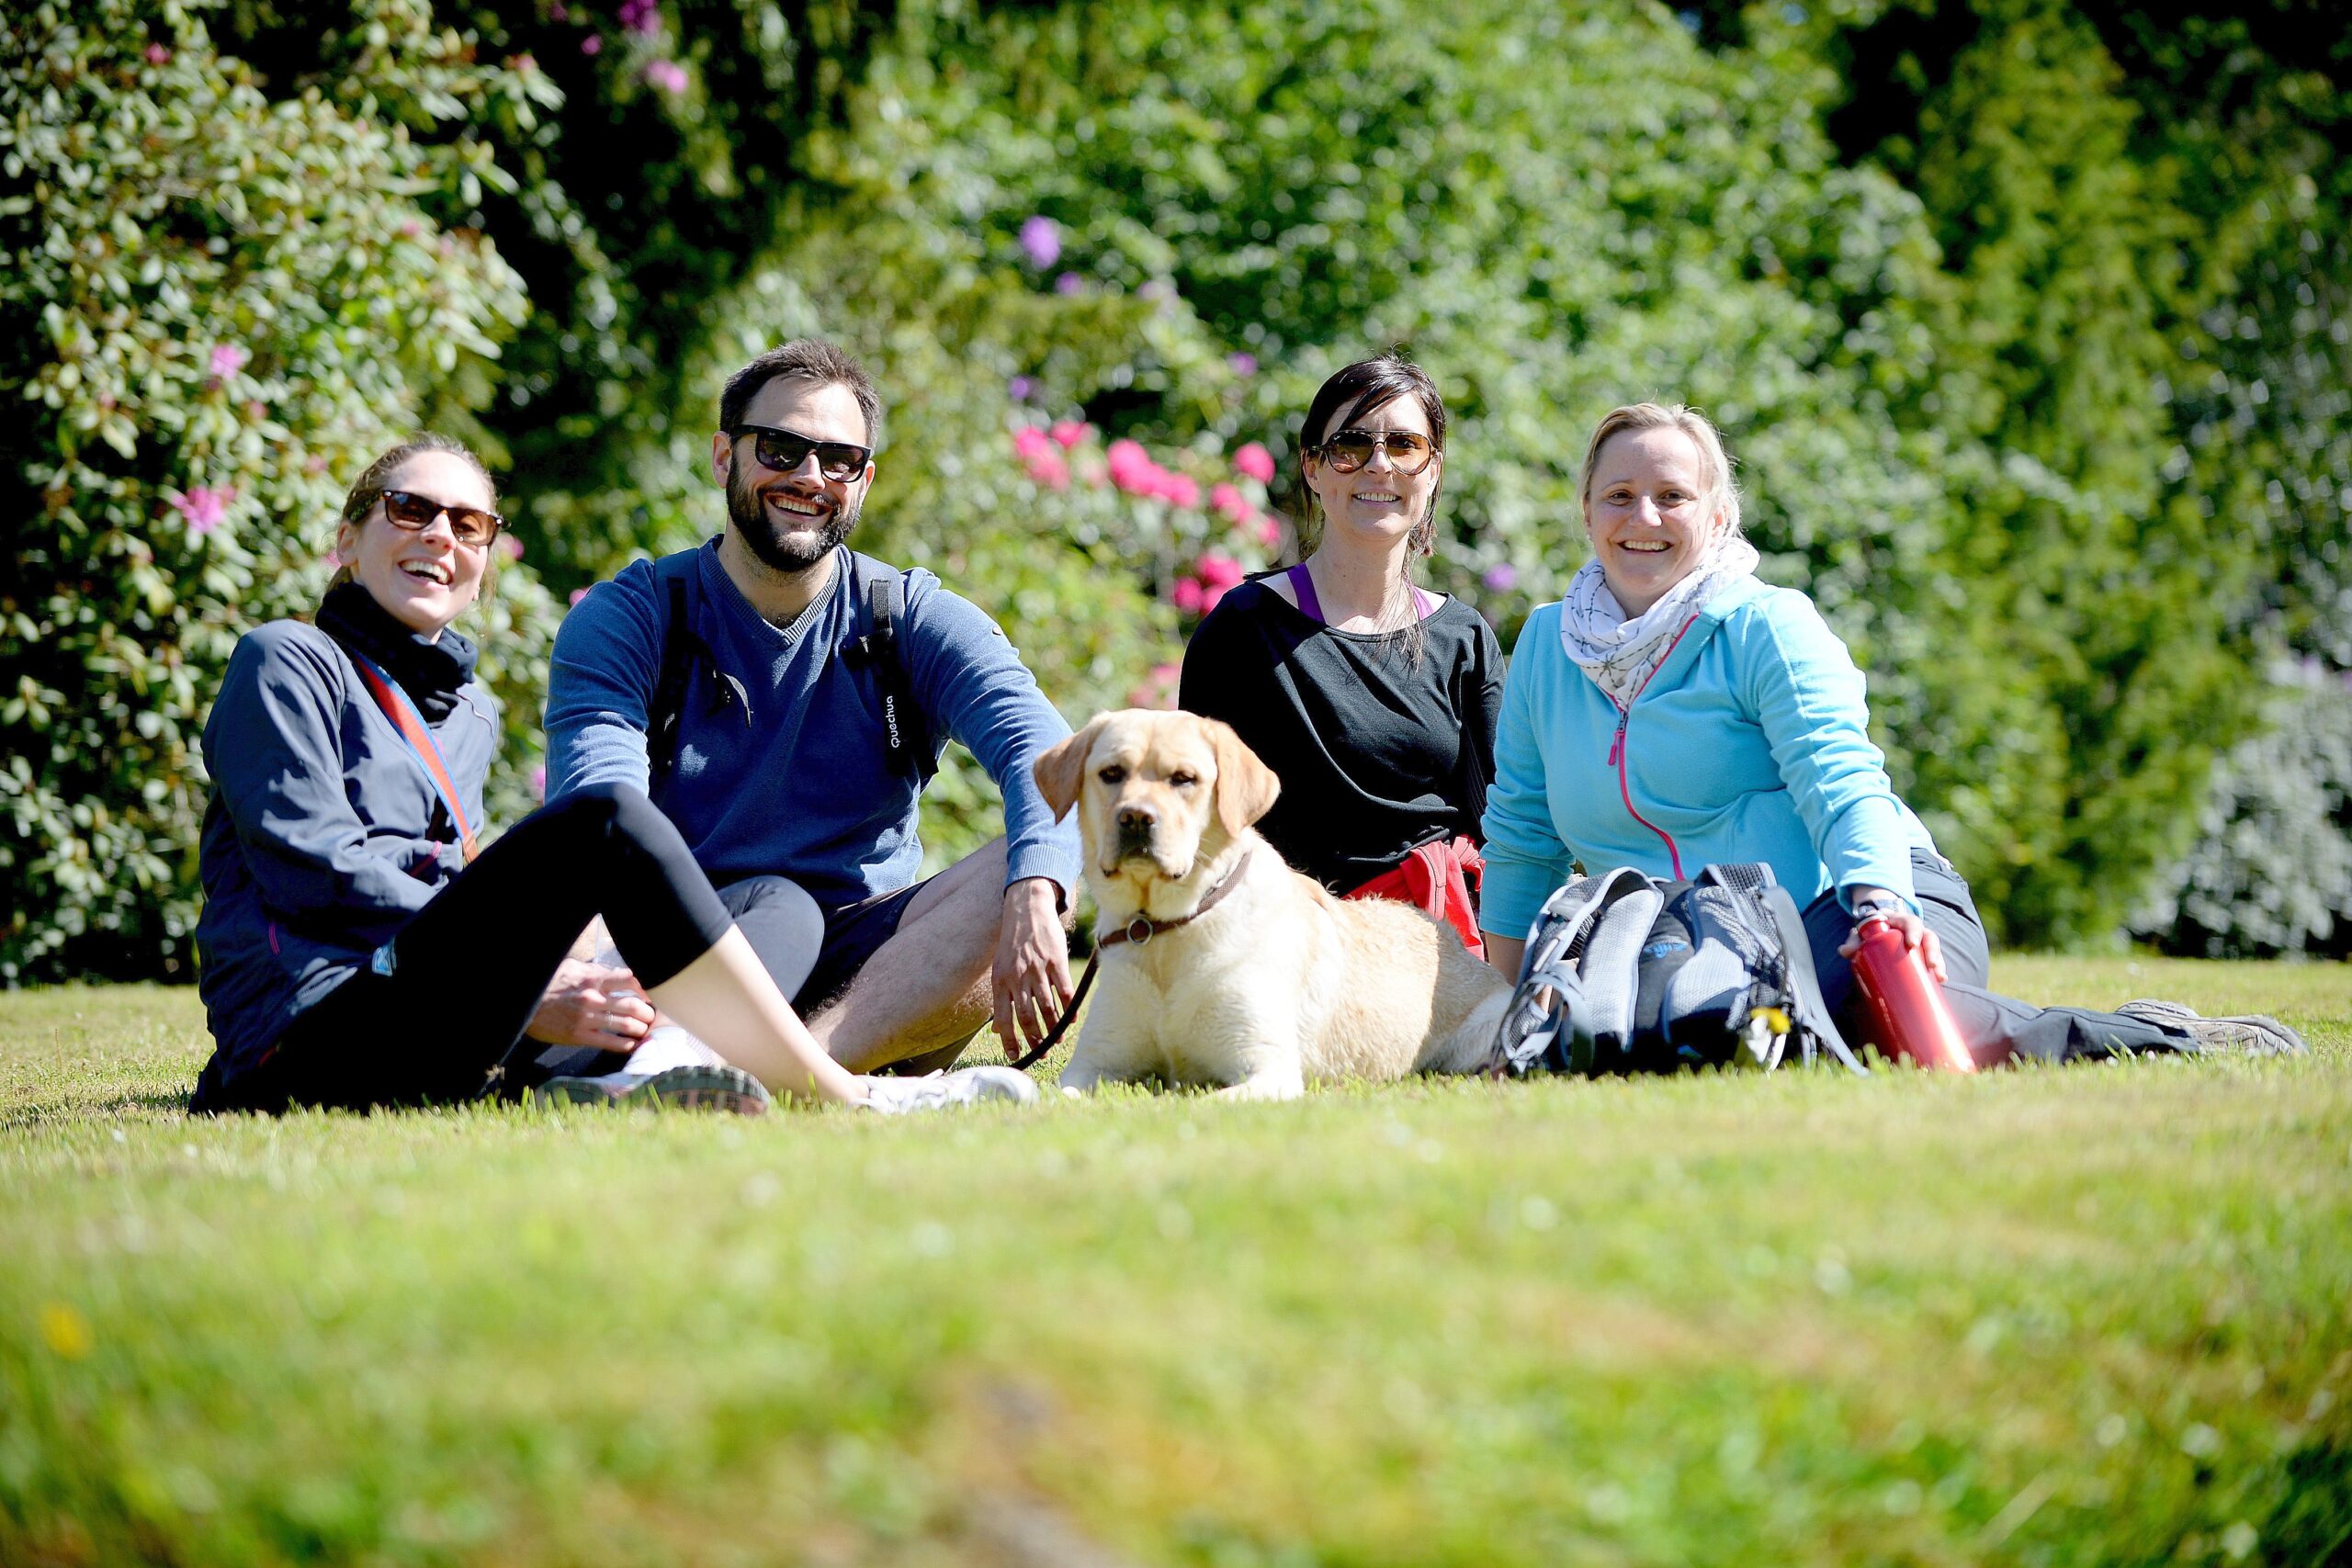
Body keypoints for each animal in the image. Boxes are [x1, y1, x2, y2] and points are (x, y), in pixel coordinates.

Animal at [1030, 709, 1505, 1104]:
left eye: (1184, 778)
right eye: (1111, 773)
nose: (1135, 818)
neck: (1165, 928)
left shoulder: (1267, 1069)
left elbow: (1202, 1102)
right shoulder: (1092, 1067)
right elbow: (1054, 1098)